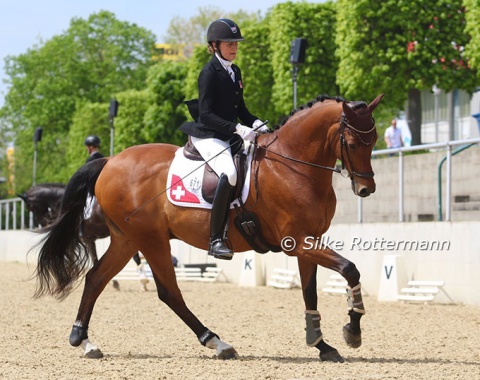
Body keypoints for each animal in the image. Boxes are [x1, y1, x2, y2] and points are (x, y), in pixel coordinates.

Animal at [33, 93, 384, 360]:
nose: (366, 189)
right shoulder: (296, 241)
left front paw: (321, 344)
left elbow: (310, 293)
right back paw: (216, 341)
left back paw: (83, 340)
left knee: (96, 278)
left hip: (127, 239)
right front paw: (352, 330)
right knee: (168, 292)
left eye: (375, 140)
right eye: (353, 143)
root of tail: (109, 161)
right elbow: (350, 269)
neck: (292, 164)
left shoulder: (306, 241)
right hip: (150, 239)